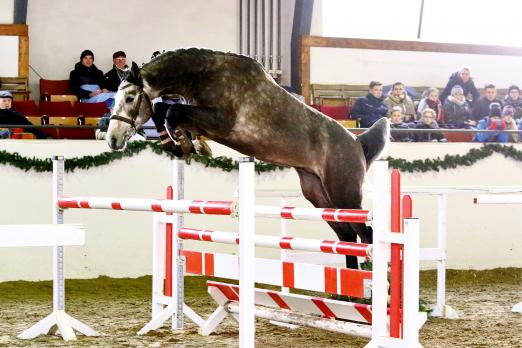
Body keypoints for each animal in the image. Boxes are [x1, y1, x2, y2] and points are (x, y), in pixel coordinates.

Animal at [106, 47, 390, 270]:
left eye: (130, 98)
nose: (112, 140)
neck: (206, 76)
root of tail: (356, 144)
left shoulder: (221, 122)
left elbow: (171, 110)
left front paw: (185, 145)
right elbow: (165, 109)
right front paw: (180, 144)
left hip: (344, 192)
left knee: (366, 234)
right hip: (317, 193)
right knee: (346, 235)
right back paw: (347, 295)